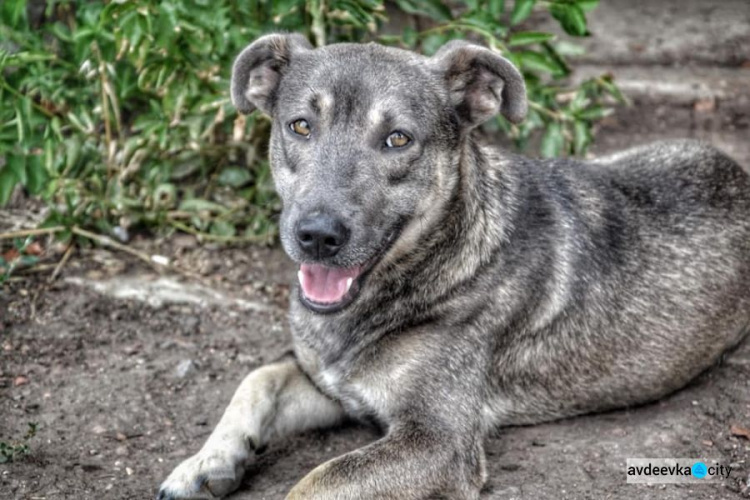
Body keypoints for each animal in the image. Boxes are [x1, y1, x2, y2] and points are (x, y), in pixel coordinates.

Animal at [156, 33, 748, 498]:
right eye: (300, 126)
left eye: (397, 139)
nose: (317, 236)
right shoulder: (331, 386)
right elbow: (257, 379)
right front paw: (205, 463)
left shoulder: (438, 441)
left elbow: (316, 482)